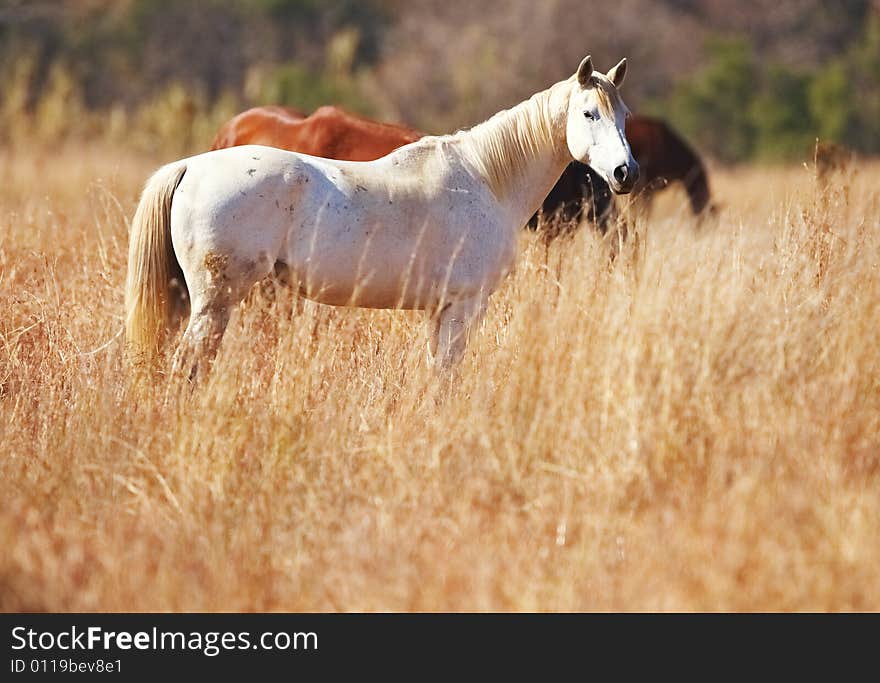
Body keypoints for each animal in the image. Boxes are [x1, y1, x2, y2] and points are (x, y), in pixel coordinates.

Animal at [124, 56, 636, 380]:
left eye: (625, 115)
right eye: (588, 113)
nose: (624, 173)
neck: (486, 177)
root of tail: (190, 166)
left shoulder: (440, 312)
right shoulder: (464, 308)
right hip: (216, 301)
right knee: (188, 367)